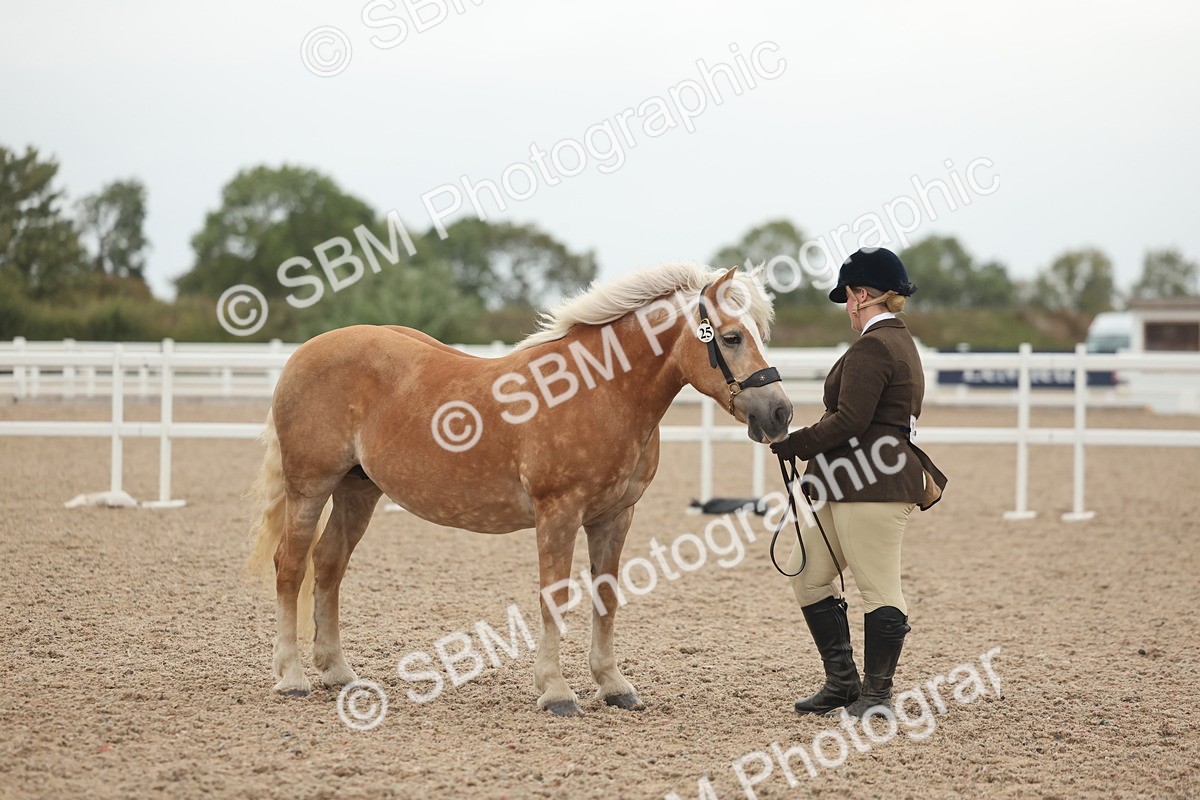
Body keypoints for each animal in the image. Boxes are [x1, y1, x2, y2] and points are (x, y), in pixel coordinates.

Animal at [247, 262, 793, 716]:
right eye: (731, 337)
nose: (780, 413)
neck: (600, 391)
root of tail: (303, 354)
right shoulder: (559, 512)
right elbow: (555, 595)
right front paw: (556, 691)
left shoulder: (615, 517)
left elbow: (606, 595)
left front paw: (613, 686)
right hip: (309, 487)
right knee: (291, 566)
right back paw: (292, 677)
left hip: (357, 491)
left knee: (329, 564)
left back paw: (337, 672)